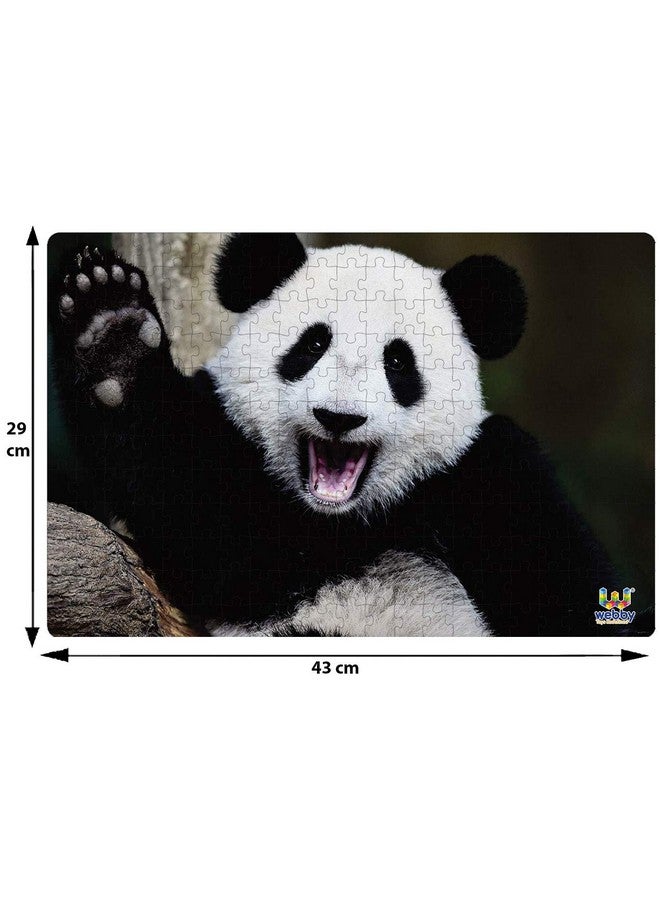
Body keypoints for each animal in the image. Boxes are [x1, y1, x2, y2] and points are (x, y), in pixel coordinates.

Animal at [50, 233, 620, 637]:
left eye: (398, 361)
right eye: (313, 344)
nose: (339, 418)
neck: (345, 521)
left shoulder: (488, 477)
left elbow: (564, 591)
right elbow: (191, 496)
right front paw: (114, 335)